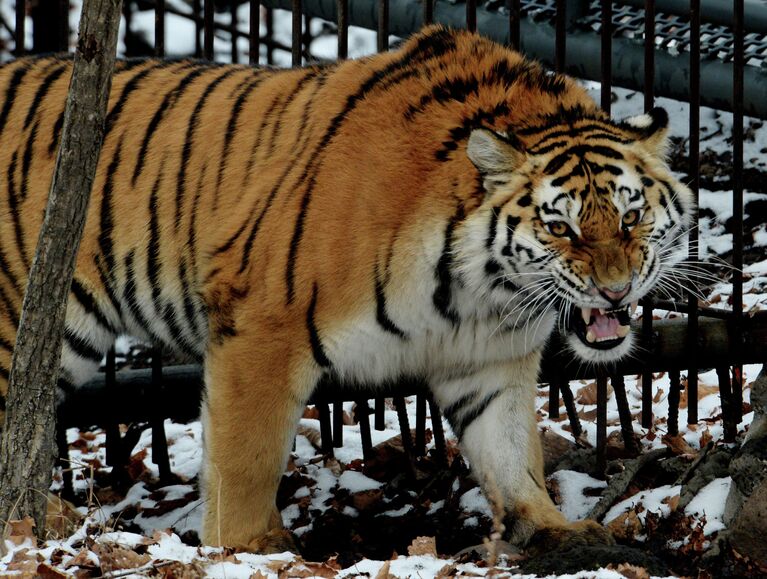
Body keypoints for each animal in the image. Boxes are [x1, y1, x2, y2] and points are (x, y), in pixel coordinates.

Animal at [0, 26, 696, 552]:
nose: (615, 291)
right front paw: (247, 549)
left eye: (630, 217)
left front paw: (556, 530)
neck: (477, 291)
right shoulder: (262, 327)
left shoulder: (488, 360)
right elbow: (246, 459)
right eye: (561, 228)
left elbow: (514, 454)